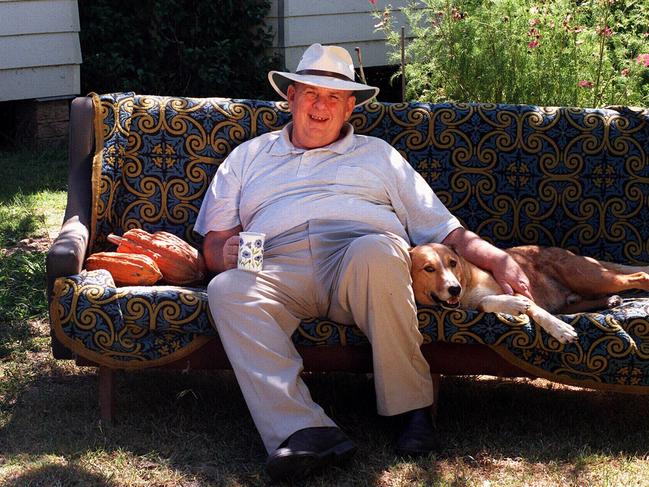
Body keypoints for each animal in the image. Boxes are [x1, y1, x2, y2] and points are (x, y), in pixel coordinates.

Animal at [410, 243, 649, 344]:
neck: (467, 287)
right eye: (429, 268)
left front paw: (561, 329)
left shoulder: (517, 289)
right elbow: (487, 300)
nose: (454, 288)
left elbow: (540, 313)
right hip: (582, 291)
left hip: (590, 277)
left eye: (452, 263)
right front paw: (511, 305)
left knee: (639, 276)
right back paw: (611, 301)